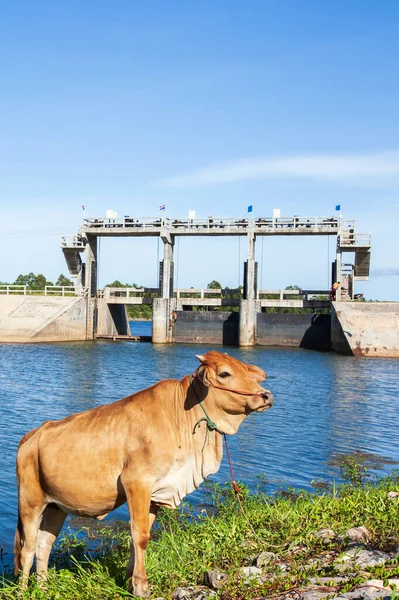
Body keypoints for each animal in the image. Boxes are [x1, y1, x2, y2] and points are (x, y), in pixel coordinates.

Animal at [14, 350, 274, 596]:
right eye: (224, 373)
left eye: (247, 371)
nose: (266, 396)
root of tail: (35, 433)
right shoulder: (136, 482)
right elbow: (139, 535)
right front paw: (141, 587)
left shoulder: (158, 492)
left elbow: (140, 536)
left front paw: (131, 580)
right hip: (30, 502)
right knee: (27, 549)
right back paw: (24, 591)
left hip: (56, 506)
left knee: (44, 545)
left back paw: (44, 588)